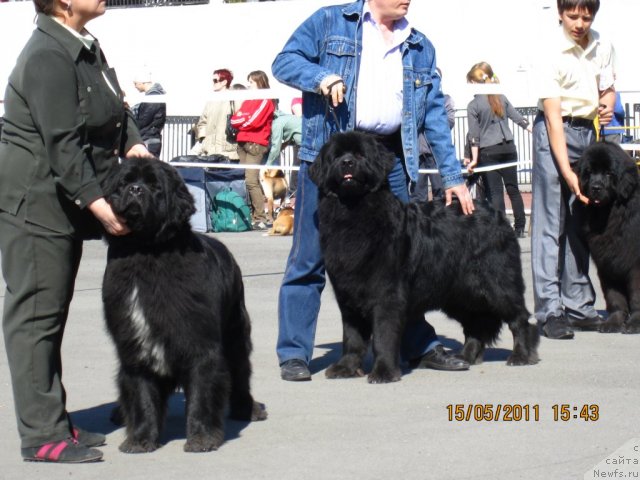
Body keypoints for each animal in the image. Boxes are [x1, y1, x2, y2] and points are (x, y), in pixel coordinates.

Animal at [103, 158, 268, 454]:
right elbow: (141, 393)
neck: (146, 254)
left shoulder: (200, 342)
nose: (135, 189)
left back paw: (248, 409)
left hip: (236, 332)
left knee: (240, 372)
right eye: (124, 183)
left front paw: (201, 438)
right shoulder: (133, 345)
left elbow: (202, 392)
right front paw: (140, 439)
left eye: (155, 186)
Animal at [308, 130, 536, 382]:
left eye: (360, 155)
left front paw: (383, 372)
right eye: (336, 156)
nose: (347, 162)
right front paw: (346, 368)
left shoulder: (387, 294)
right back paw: (464, 356)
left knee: (519, 317)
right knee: (476, 324)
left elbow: (383, 336)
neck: (353, 215)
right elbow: (352, 337)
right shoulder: (347, 296)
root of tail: (495, 212)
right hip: (459, 293)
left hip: (498, 283)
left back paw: (521, 355)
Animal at [576, 142, 640, 334]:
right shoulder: (607, 262)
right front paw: (613, 322)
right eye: (589, 172)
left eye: (608, 173)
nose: (596, 187)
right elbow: (614, 296)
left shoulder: (634, 263)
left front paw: (635, 323)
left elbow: (636, 295)